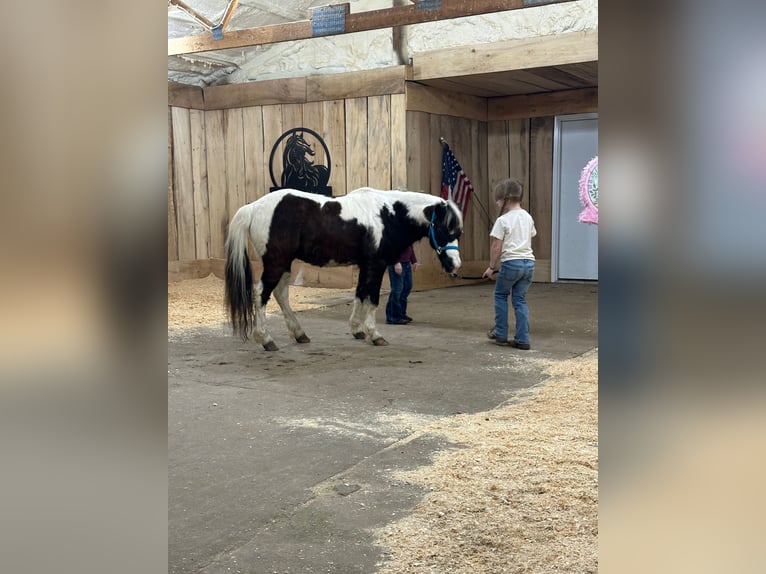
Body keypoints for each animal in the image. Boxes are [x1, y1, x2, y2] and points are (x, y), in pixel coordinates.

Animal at [224, 187, 463, 350]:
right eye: (445, 228)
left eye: (458, 231)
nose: (455, 265)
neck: (387, 215)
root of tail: (254, 207)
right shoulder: (376, 265)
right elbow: (372, 299)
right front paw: (375, 335)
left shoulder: (365, 265)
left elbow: (360, 294)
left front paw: (357, 329)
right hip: (276, 263)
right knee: (260, 294)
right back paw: (266, 339)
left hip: (283, 265)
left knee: (281, 295)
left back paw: (300, 334)